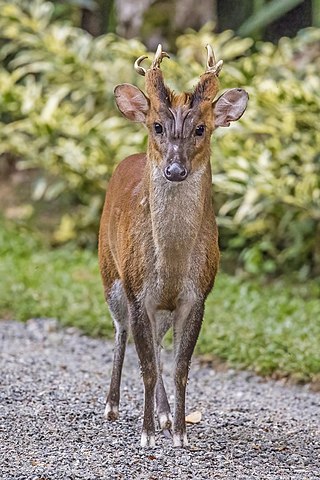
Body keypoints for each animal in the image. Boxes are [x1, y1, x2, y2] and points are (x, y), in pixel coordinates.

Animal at [99, 45, 249, 446]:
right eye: (157, 125)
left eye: (201, 128)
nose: (175, 170)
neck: (172, 265)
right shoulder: (138, 292)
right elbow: (147, 368)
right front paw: (147, 434)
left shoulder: (197, 295)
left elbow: (181, 367)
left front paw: (179, 432)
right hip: (110, 273)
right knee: (121, 331)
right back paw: (113, 406)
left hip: (160, 308)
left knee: (158, 344)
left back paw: (164, 414)